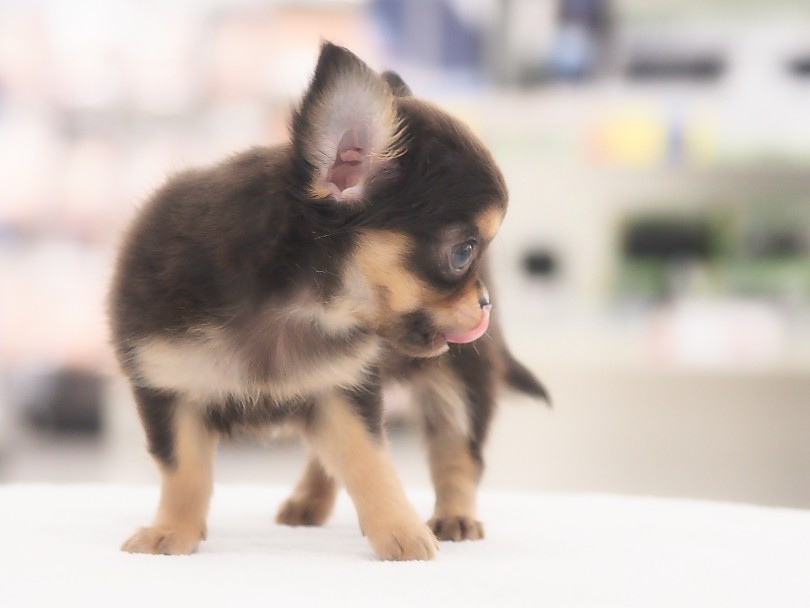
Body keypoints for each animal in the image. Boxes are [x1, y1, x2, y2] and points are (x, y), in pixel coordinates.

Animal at [109, 42, 544, 564]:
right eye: (463, 251)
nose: (485, 303)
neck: (294, 307)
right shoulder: (169, 388)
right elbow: (184, 472)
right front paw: (172, 531)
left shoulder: (343, 391)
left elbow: (368, 463)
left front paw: (401, 532)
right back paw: (308, 502)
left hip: (460, 376)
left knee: (456, 450)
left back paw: (453, 517)